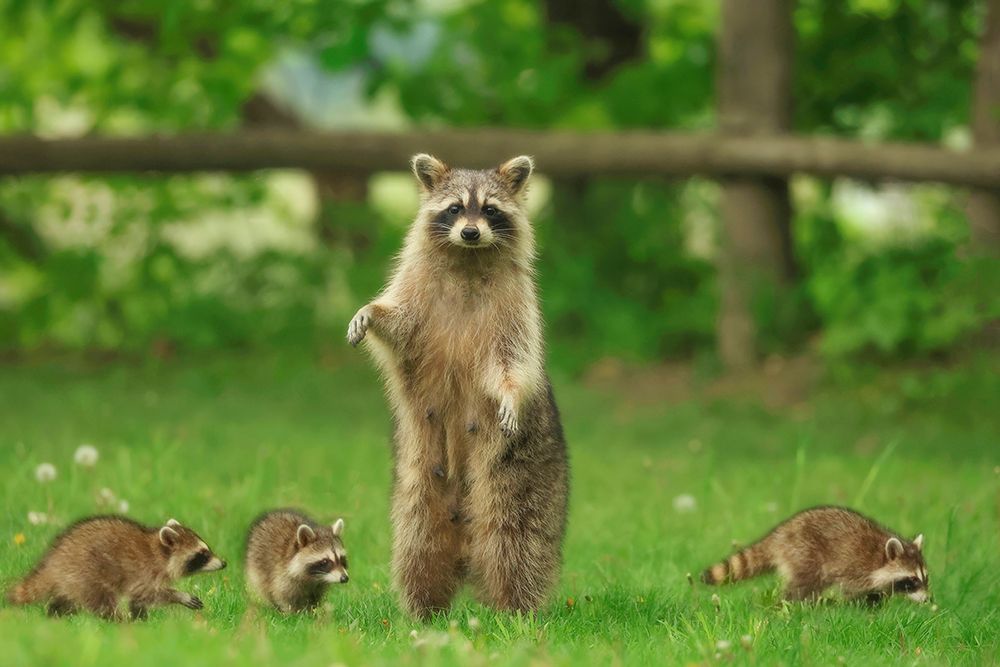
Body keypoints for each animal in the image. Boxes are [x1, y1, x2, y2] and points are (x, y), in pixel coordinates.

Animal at [7, 516, 225, 620]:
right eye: (203, 554)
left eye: (206, 549)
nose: (224, 563)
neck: (158, 551)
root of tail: (53, 561)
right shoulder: (143, 571)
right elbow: (150, 594)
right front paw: (179, 595)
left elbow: (138, 601)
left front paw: (142, 620)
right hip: (86, 575)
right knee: (103, 603)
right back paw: (117, 621)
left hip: (73, 582)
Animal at [347, 154, 569, 617]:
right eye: (454, 209)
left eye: (489, 209)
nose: (469, 231)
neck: (467, 258)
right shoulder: (416, 292)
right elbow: (399, 325)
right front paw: (372, 312)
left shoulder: (516, 310)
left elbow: (513, 361)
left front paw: (510, 394)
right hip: (417, 486)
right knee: (418, 546)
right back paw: (422, 610)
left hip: (522, 477)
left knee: (516, 543)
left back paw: (514, 610)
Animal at [701, 506, 929, 603]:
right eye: (912, 580)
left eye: (925, 578)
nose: (929, 600)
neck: (880, 555)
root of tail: (781, 532)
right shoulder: (854, 566)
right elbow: (853, 591)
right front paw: (865, 606)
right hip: (804, 552)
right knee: (802, 584)